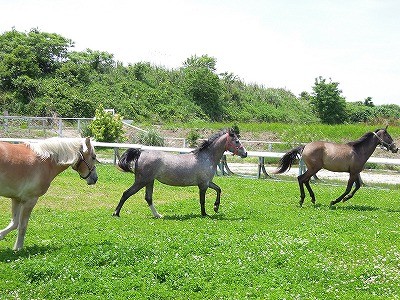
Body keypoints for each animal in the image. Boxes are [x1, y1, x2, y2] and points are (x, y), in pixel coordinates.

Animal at [112, 127, 248, 217]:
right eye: (236, 141)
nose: (245, 153)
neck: (206, 157)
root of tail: (140, 152)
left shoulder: (207, 182)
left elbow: (218, 189)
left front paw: (215, 207)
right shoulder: (203, 185)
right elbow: (202, 200)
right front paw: (205, 214)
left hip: (149, 181)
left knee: (148, 198)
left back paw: (158, 215)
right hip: (141, 181)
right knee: (126, 193)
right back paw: (116, 213)